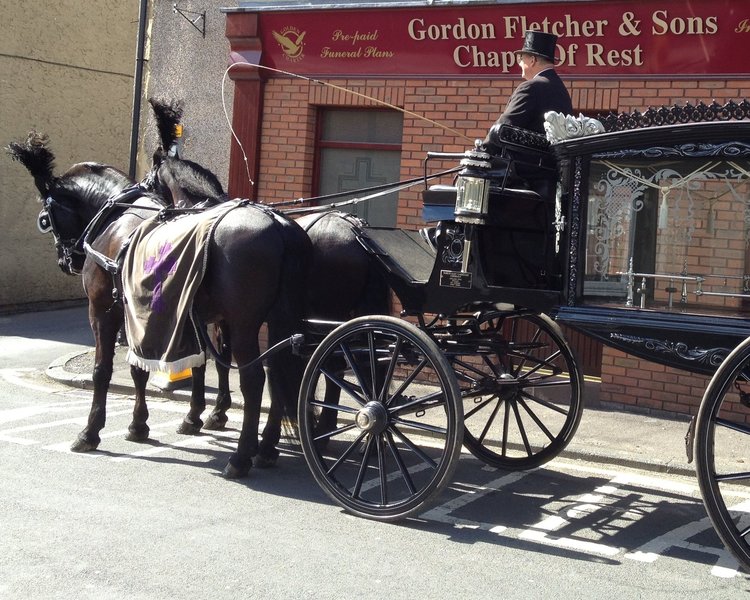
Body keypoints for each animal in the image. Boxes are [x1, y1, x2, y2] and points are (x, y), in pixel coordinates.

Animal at [7, 132, 310, 478]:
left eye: (46, 218)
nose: (65, 260)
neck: (116, 220)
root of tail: (279, 225)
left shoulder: (106, 311)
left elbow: (104, 370)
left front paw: (91, 431)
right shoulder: (152, 316)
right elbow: (153, 366)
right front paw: (143, 424)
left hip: (245, 325)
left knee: (254, 379)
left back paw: (241, 456)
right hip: (279, 320)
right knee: (279, 372)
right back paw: (267, 447)